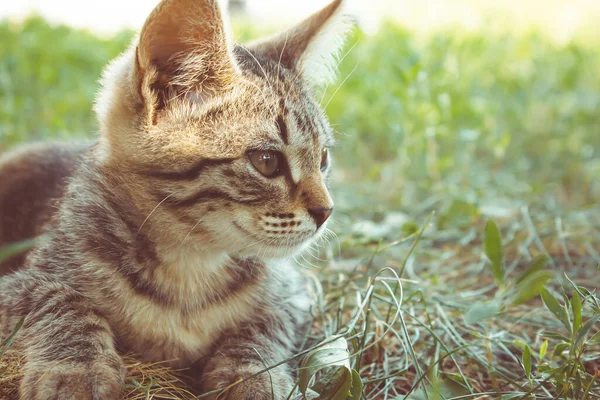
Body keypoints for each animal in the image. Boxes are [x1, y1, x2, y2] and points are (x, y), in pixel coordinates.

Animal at [0, 0, 352, 398]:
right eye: (267, 161)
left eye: (323, 159)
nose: (326, 211)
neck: (191, 263)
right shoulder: (17, 283)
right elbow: (57, 299)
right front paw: (75, 367)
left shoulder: (293, 294)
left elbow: (264, 323)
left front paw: (254, 373)